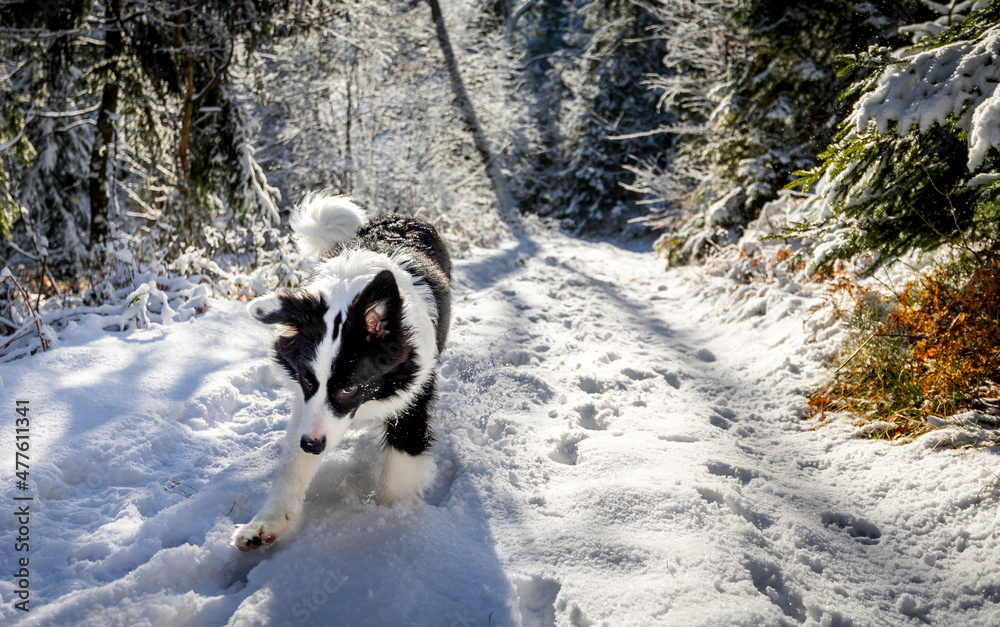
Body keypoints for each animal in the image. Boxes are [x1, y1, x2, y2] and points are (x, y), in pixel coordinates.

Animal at [232, 195, 452, 548]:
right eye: (307, 380)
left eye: (349, 387)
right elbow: (292, 466)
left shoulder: (412, 398)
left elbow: (398, 474)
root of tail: (400, 215)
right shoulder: (307, 408)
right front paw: (267, 523)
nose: (312, 445)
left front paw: (393, 525)